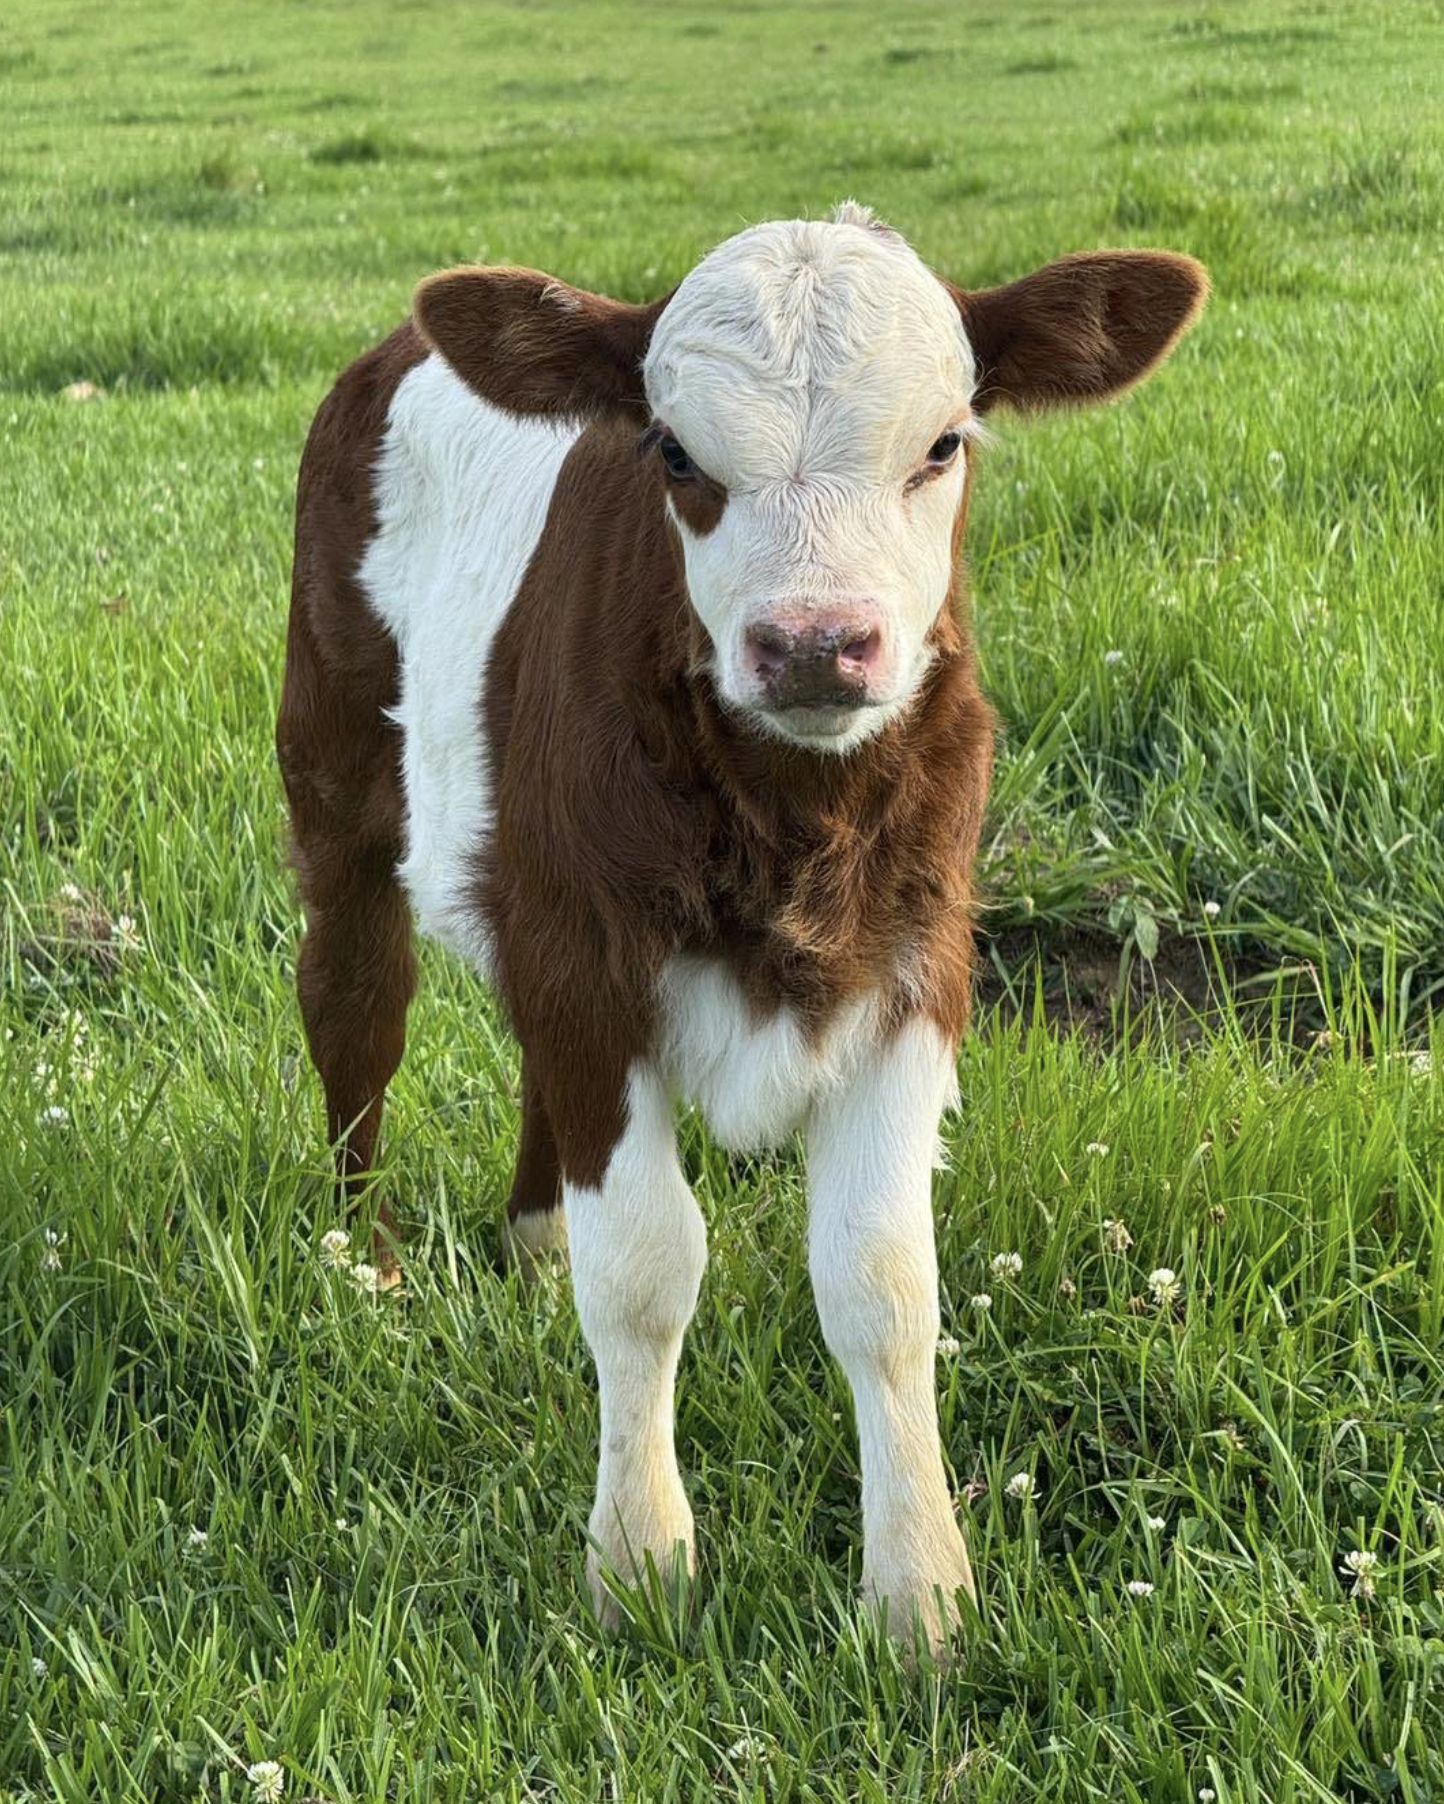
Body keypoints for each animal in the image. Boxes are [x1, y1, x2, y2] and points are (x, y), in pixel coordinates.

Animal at [278, 203, 1206, 1650]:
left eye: (944, 441)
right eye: (675, 452)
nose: (817, 644)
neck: (792, 822)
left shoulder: (914, 966)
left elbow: (884, 1282)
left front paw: (920, 1597)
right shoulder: (589, 959)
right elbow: (646, 1267)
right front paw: (639, 1566)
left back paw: (530, 1250)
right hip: (334, 762)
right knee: (356, 1007)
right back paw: (364, 1269)